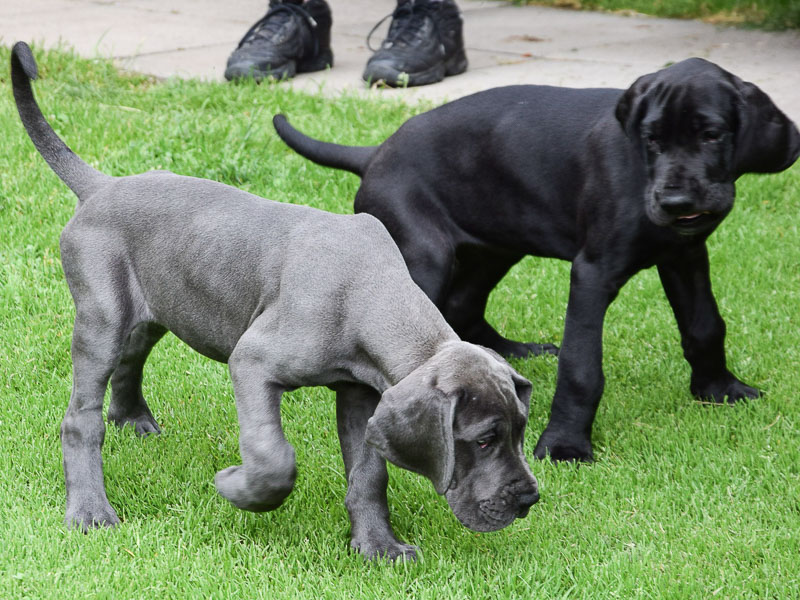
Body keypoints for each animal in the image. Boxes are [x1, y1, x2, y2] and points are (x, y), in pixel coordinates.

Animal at [10, 43, 536, 564]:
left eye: (521, 430)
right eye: (483, 439)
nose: (529, 499)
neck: (371, 294)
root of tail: (102, 186)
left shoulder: (361, 394)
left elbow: (370, 474)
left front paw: (377, 546)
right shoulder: (253, 361)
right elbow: (273, 457)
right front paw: (236, 488)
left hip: (157, 304)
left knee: (132, 357)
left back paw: (132, 419)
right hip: (102, 315)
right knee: (81, 418)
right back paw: (90, 510)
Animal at [272, 58, 796, 462]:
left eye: (712, 135)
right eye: (651, 140)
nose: (674, 201)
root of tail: (376, 153)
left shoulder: (685, 255)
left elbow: (705, 325)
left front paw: (719, 389)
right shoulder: (593, 272)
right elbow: (582, 367)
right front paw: (565, 446)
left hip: (497, 245)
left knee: (463, 306)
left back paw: (509, 354)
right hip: (424, 255)